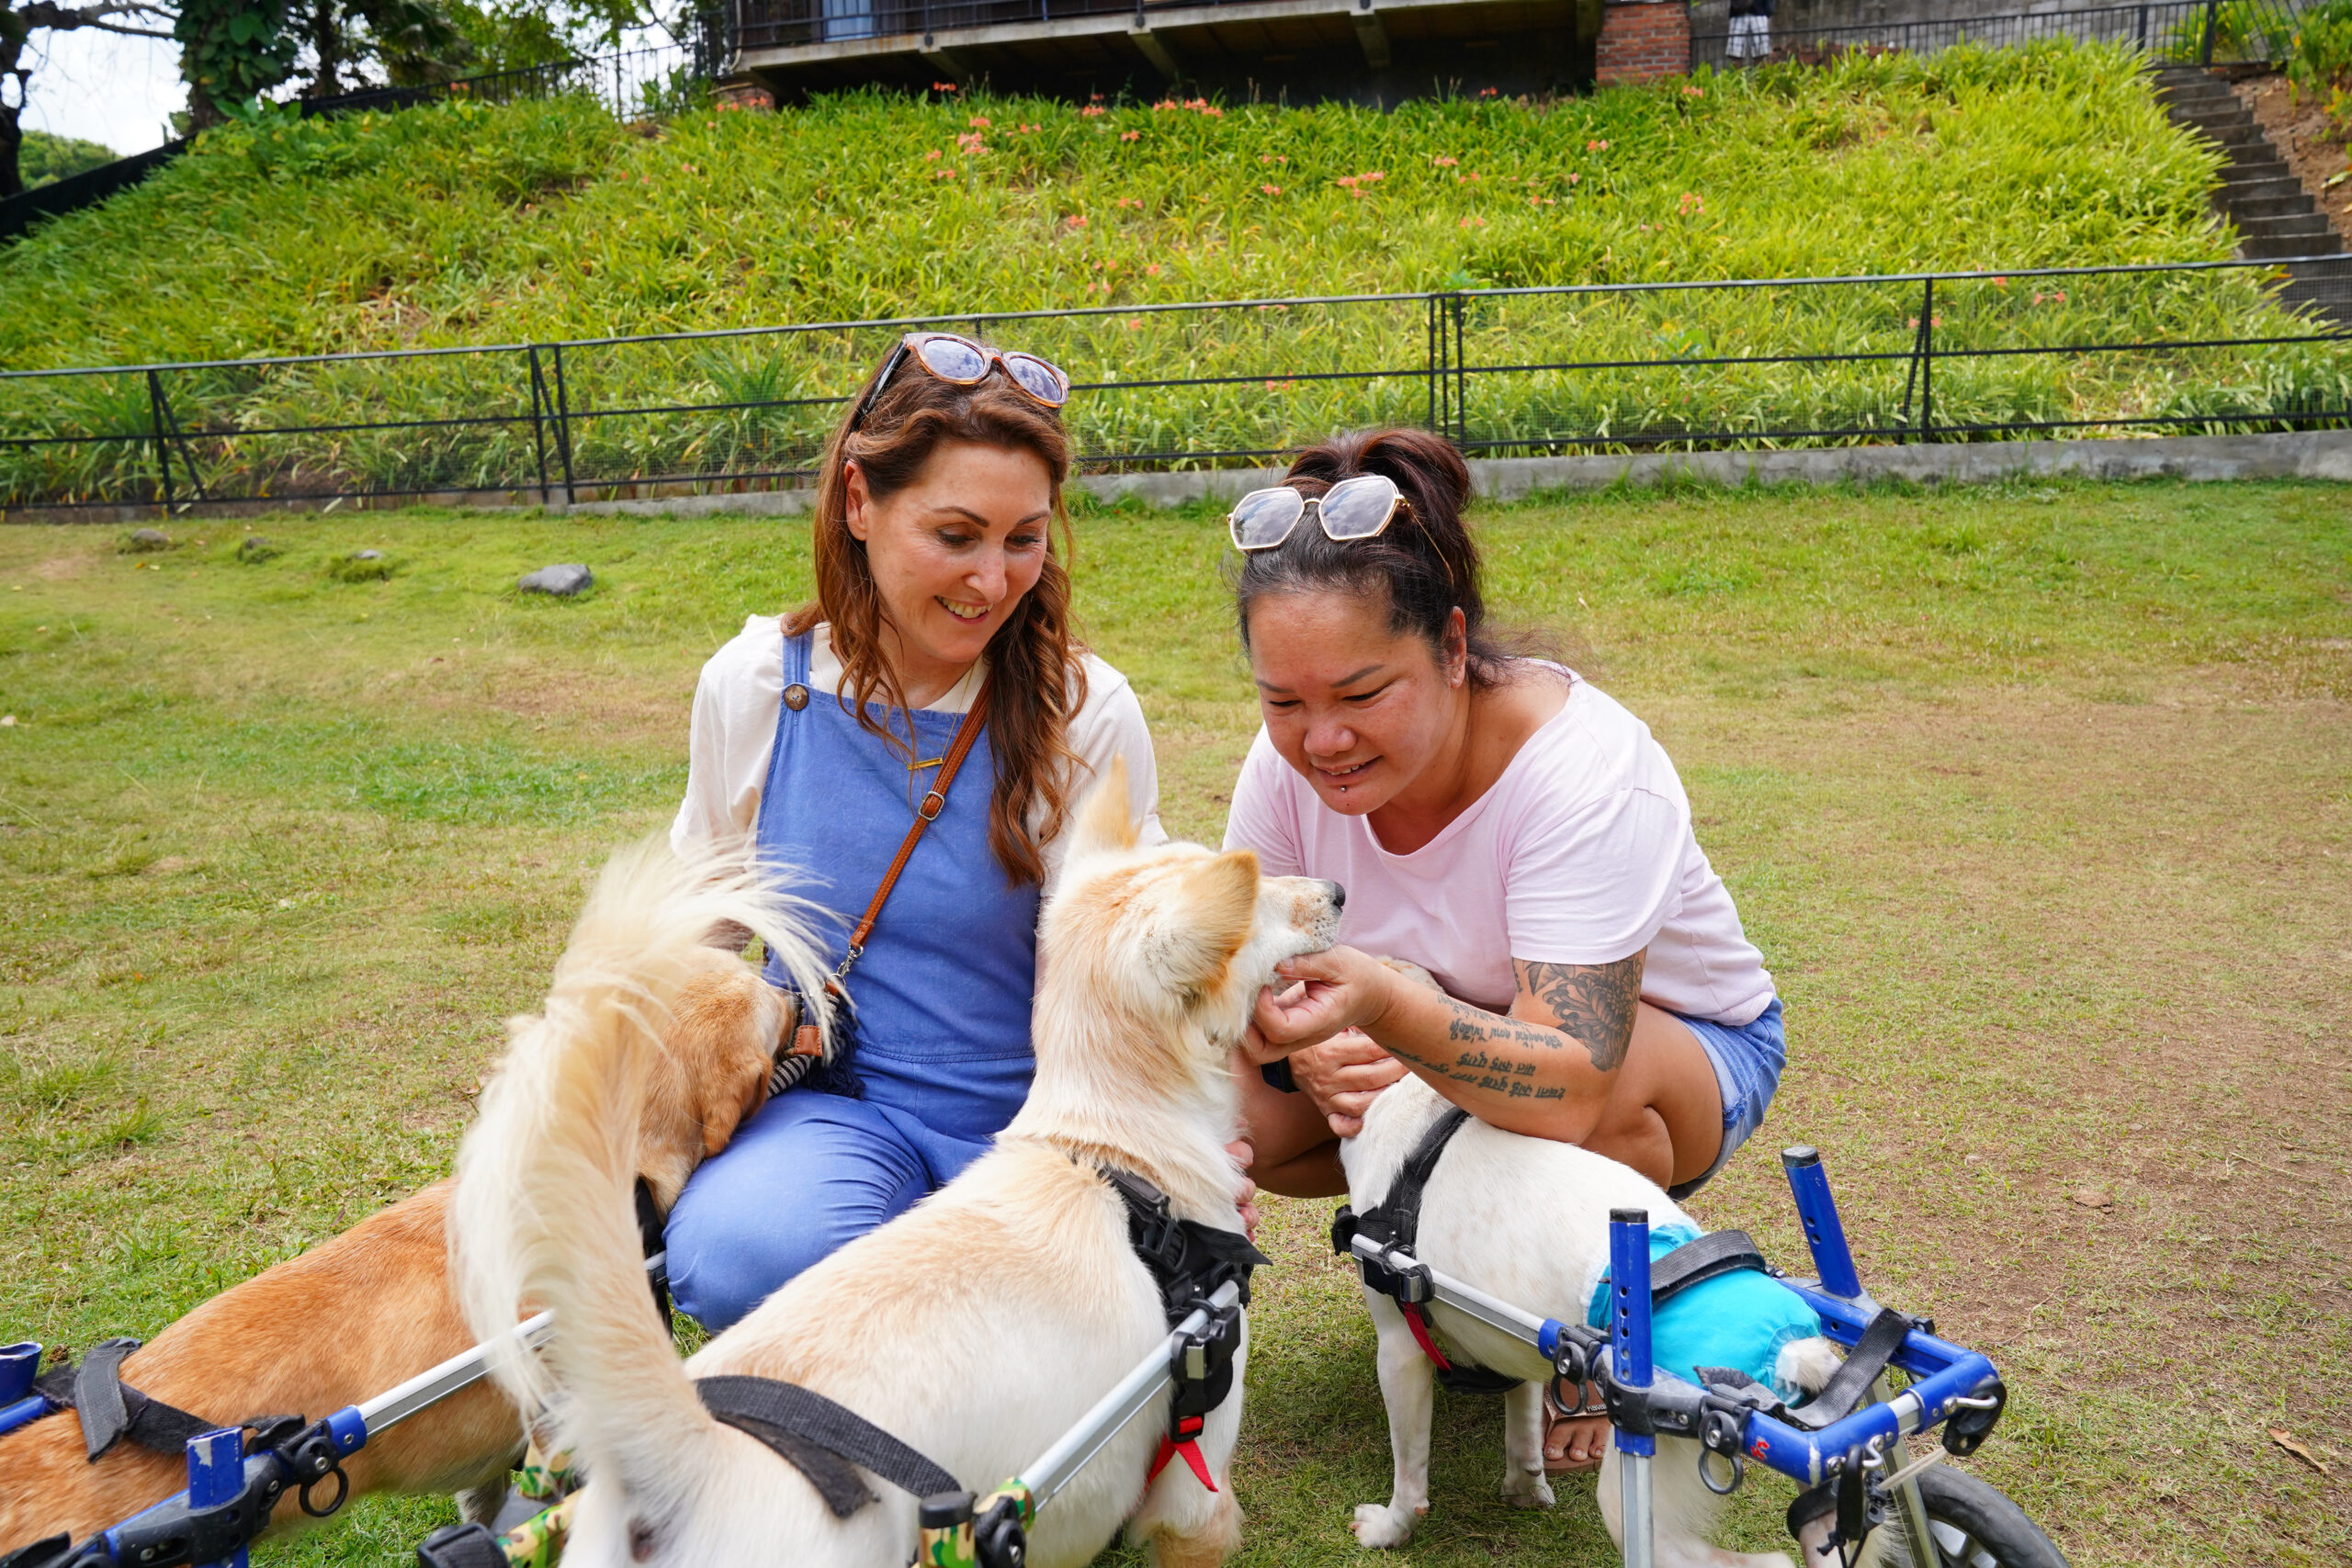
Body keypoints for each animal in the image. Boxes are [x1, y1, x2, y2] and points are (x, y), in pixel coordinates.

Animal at [1336, 1072, 1844, 1568]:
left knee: (1768, 1561)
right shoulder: (1515, 1338)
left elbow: (1410, 1473)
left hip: (1637, 1500)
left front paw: (1389, 1529)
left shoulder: (1399, 1350)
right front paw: (1525, 1489)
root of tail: (1794, 1351)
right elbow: (1523, 1433)